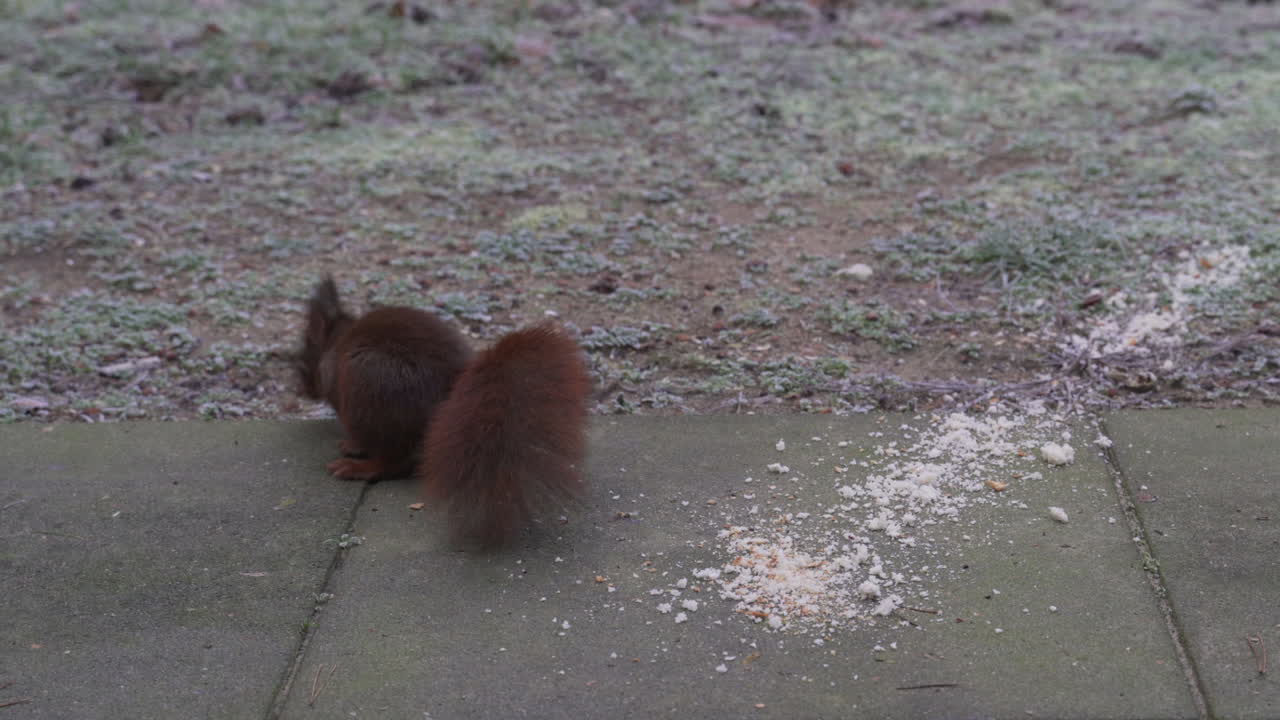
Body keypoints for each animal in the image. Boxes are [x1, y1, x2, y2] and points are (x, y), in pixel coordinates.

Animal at [296, 275, 591, 547]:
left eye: (306, 351)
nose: (302, 387)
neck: (337, 341)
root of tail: (453, 392)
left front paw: (353, 446)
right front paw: (352, 445)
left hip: (368, 386)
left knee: (394, 461)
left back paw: (358, 468)